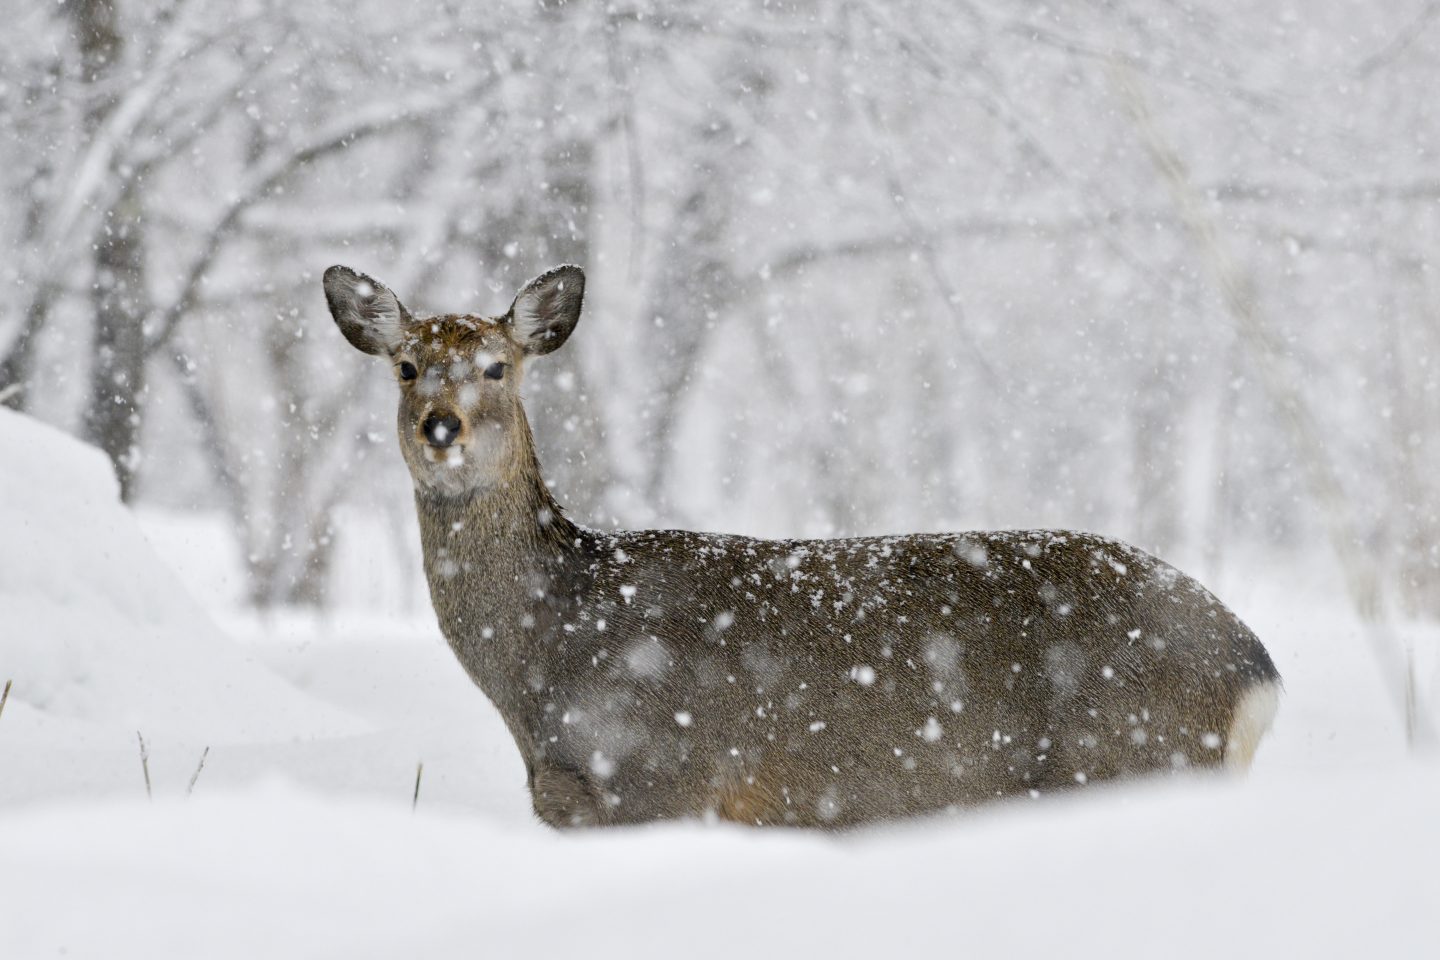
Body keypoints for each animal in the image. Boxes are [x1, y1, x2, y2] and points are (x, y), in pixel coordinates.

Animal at [326, 264, 1284, 834]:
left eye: (497, 366)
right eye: (405, 366)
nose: (440, 427)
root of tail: (1257, 672)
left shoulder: (661, 785)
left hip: (1131, 760)